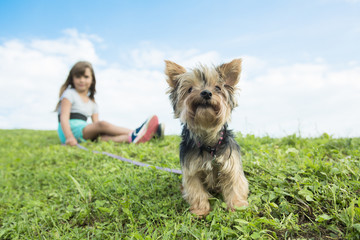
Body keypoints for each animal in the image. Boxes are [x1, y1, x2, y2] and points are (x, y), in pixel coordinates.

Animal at [165, 59, 249, 217]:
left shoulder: (231, 166)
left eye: (217, 87)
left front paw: (237, 207)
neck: (209, 143)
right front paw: (200, 211)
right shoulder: (192, 171)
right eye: (190, 89)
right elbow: (196, 191)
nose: (206, 93)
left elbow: (235, 185)